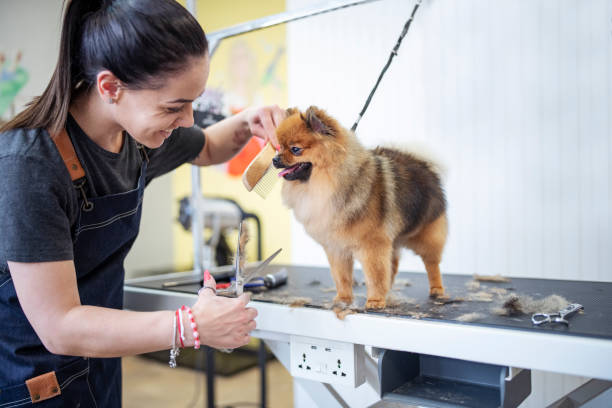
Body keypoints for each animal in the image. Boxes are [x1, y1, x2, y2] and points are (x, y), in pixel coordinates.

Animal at [274, 107, 448, 308]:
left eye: (295, 149)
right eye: (278, 147)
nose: (274, 159)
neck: (330, 182)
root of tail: (424, 164)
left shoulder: (373, 245)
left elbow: (375, 275)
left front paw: (375, 301)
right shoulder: (337, 248)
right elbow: (342, 276)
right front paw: (343, 299)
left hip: (426, 234)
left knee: (431, 263)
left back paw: (436, 289)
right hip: (393, 238)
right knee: (393, 264)